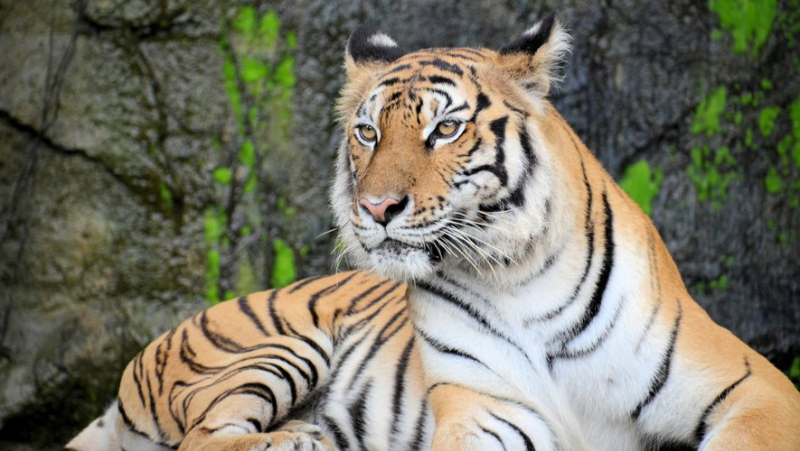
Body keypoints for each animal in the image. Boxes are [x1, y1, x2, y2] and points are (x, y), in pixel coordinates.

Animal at [70, 15, 800, 451]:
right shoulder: (488, 407)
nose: (376, 206)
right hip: (272, 347)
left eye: (444, 128)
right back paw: (299, 438)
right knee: (203, 437)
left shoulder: (755, 388)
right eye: (368, 133)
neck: (518, 276)